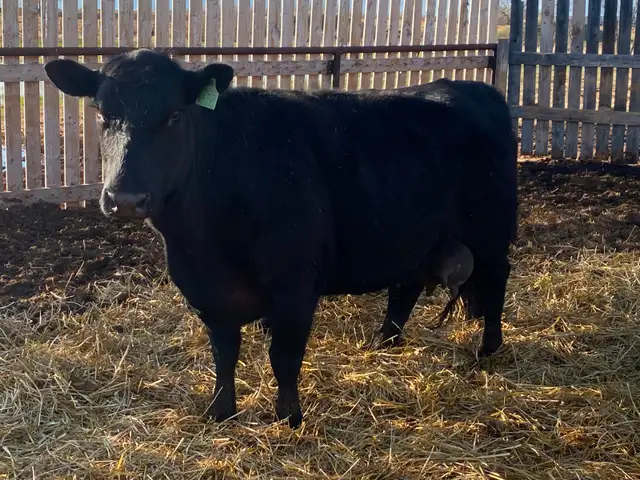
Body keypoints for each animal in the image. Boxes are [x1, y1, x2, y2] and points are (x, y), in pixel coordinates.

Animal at [44, 49, 517, 428]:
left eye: (175, 115)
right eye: (101, 114)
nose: (125, 198)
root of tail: (472, 86)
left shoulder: (296, 285)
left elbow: (284, 357)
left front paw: (289, 418)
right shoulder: (205, 290)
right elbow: (224, 354)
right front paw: (220, 412)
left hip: (491, 229)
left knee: (495, 281)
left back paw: (488, 348)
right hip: (416, 233)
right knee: (408, 284)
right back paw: (385, 341)